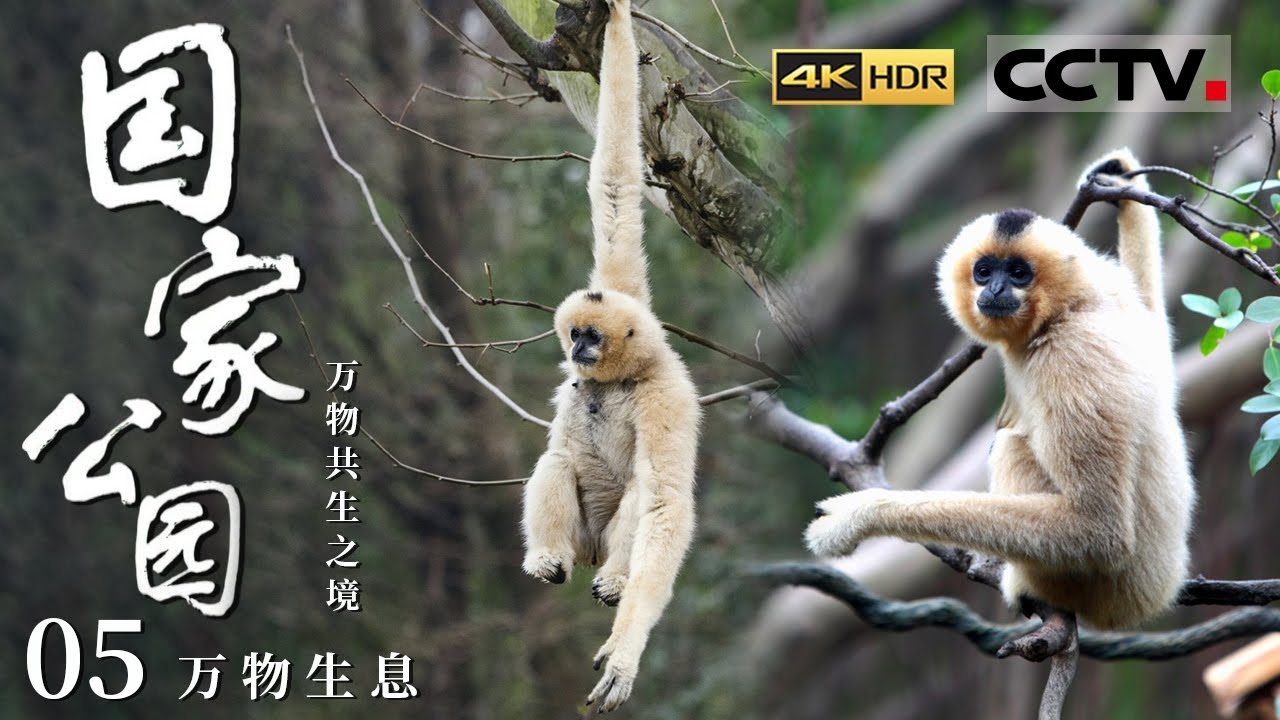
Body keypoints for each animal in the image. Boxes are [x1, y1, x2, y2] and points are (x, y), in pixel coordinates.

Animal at [518, 0, 701, 710]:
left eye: (592, 336)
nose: (578, 347)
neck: (622, 379)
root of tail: (591, 554)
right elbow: (616, 187)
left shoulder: (667, 395)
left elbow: (664, 503)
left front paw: (625, 656)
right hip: (578, 536)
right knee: (556, 458)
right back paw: (547, 559)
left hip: (608, 543)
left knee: (640, 497)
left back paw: (617, 584)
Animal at [804, 148, 1195, 630]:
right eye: (985, 269)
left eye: (1020, 273)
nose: (995, 287)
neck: (1066, 310)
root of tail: (1156, 591)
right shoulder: (1114, 289)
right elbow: (1158, 338)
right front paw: (1121, 180)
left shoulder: (1074, 361)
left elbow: (1099, 529)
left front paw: (861, 514)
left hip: (1102, 588)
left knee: (1011, 447)